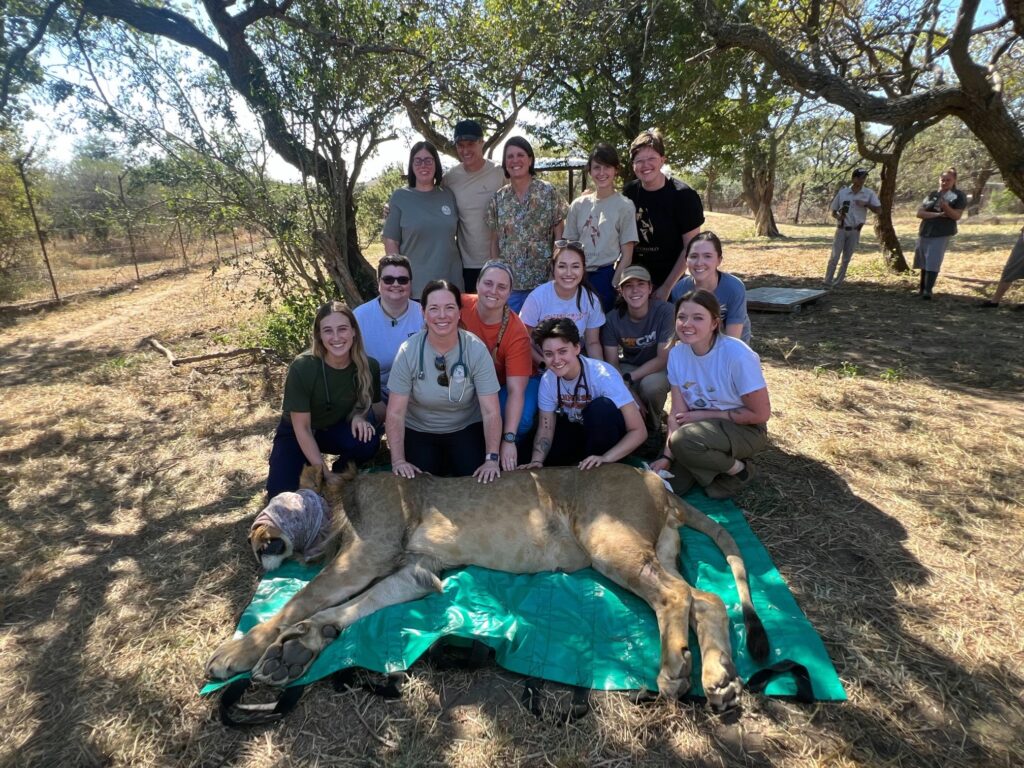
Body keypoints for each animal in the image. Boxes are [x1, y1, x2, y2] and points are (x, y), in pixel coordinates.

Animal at [207, 462, 770, 708]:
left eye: (276, 507)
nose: (255, 542)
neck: (342, 503)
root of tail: (661, 484)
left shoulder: (369, 551)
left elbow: (300, 598)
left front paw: (235, 653)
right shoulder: (415, 570)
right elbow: (349, 608)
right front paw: (298, 649)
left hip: (609, 539)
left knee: (676, 597)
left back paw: (675, 668)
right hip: (657, 548)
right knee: (708, 598)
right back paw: (719, 678)